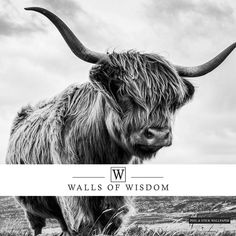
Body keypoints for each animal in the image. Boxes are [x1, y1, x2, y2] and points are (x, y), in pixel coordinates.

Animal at [6, 6, 236, 236]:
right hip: (31, 209)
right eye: (123, 92)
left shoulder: (116, 205)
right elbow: (84, 225)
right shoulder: (75, 203)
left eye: (171, 101)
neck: (103, 154)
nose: (158, 135)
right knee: (37, 226)